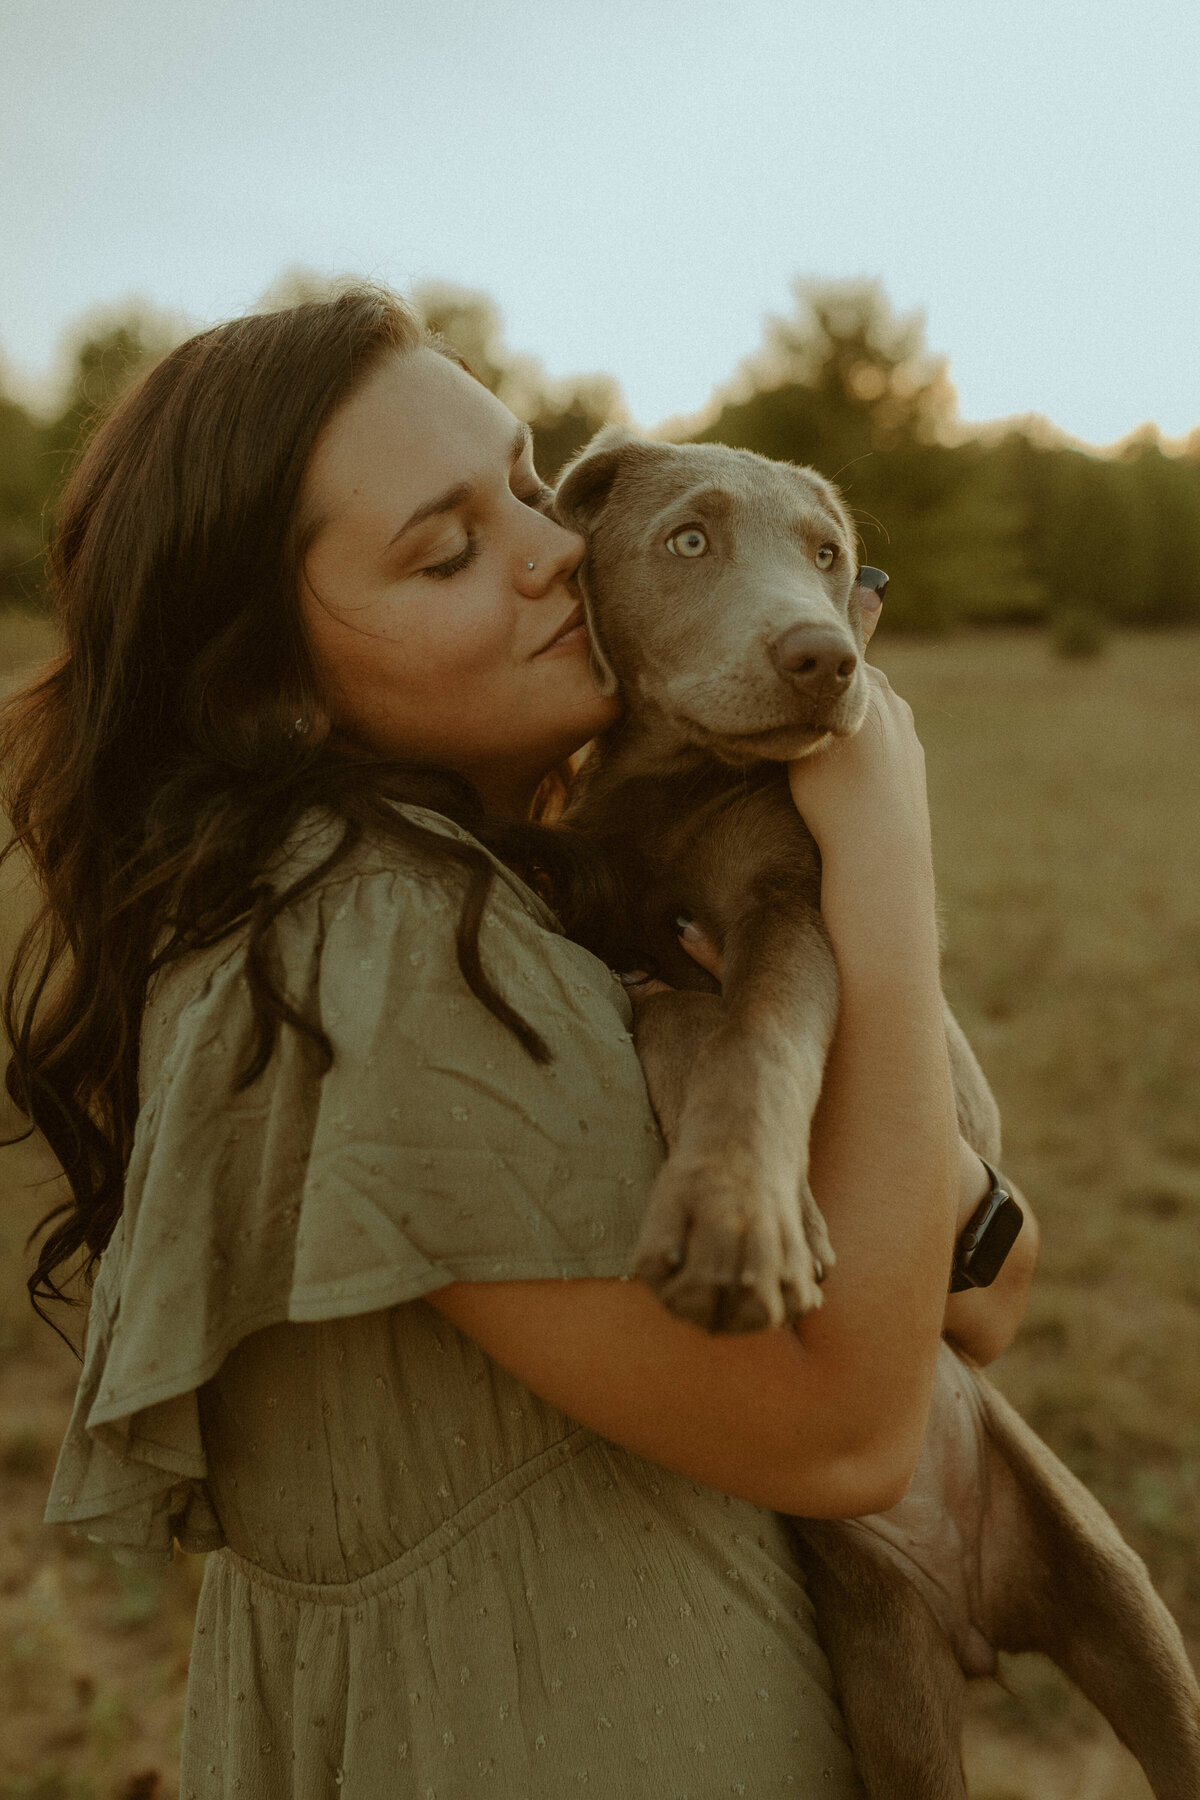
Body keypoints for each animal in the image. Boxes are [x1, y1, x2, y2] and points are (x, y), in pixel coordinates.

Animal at [550, 424, 1200, 1800]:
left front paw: (744, 1222)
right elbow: (661, 999)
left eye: (828, 555)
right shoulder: (587, 886)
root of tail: (979, 1615)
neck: (674, 787)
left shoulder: (794, 909)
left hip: (1124, 1599)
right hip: (890, 1683)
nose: (822, 658)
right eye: (689, 539)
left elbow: (744, 1035)